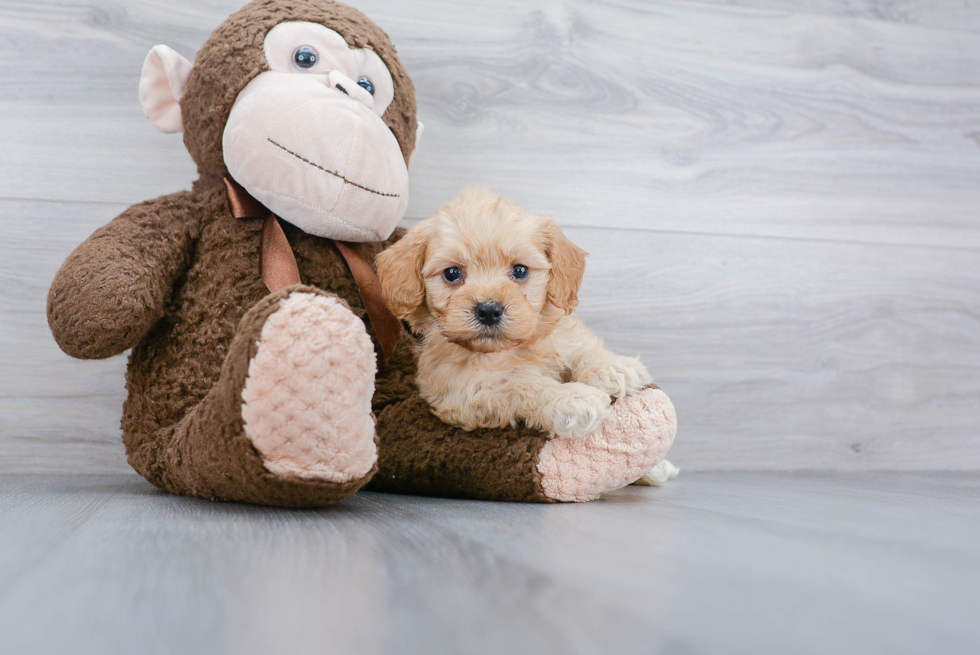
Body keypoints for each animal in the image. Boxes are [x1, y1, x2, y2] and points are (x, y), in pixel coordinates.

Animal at [378, 187, 656, 438]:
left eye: (520, 270)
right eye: (452, 273)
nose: (489, 310)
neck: (508, 349)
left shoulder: (560, 336)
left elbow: (580, 349)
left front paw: (613, 367)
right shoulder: (465, 395)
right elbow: (519, 384)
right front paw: (571, 400)